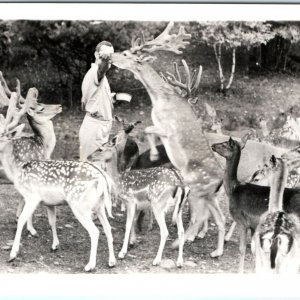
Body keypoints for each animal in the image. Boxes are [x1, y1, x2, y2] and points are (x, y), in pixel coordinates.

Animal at [87, 134, 190, 268]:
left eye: (100, 149)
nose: (89, 157)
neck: (119, 181)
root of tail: (181, 184)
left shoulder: (130, 201)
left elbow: (128, 224)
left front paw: (122, 252)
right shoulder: (136, 205)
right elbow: (134, 222)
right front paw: (132, 242)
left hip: (158, 204)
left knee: (165, 231)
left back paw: (156, 260)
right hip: (180, 207)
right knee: (181, 231)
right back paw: (179, 261)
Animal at [212, 135, 300, 274]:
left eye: (225, 144)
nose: (213, 145)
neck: (233, 189)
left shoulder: (242, 222)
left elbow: (242, 249)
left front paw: (240, 271)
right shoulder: (253, 226)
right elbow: (254, 250)